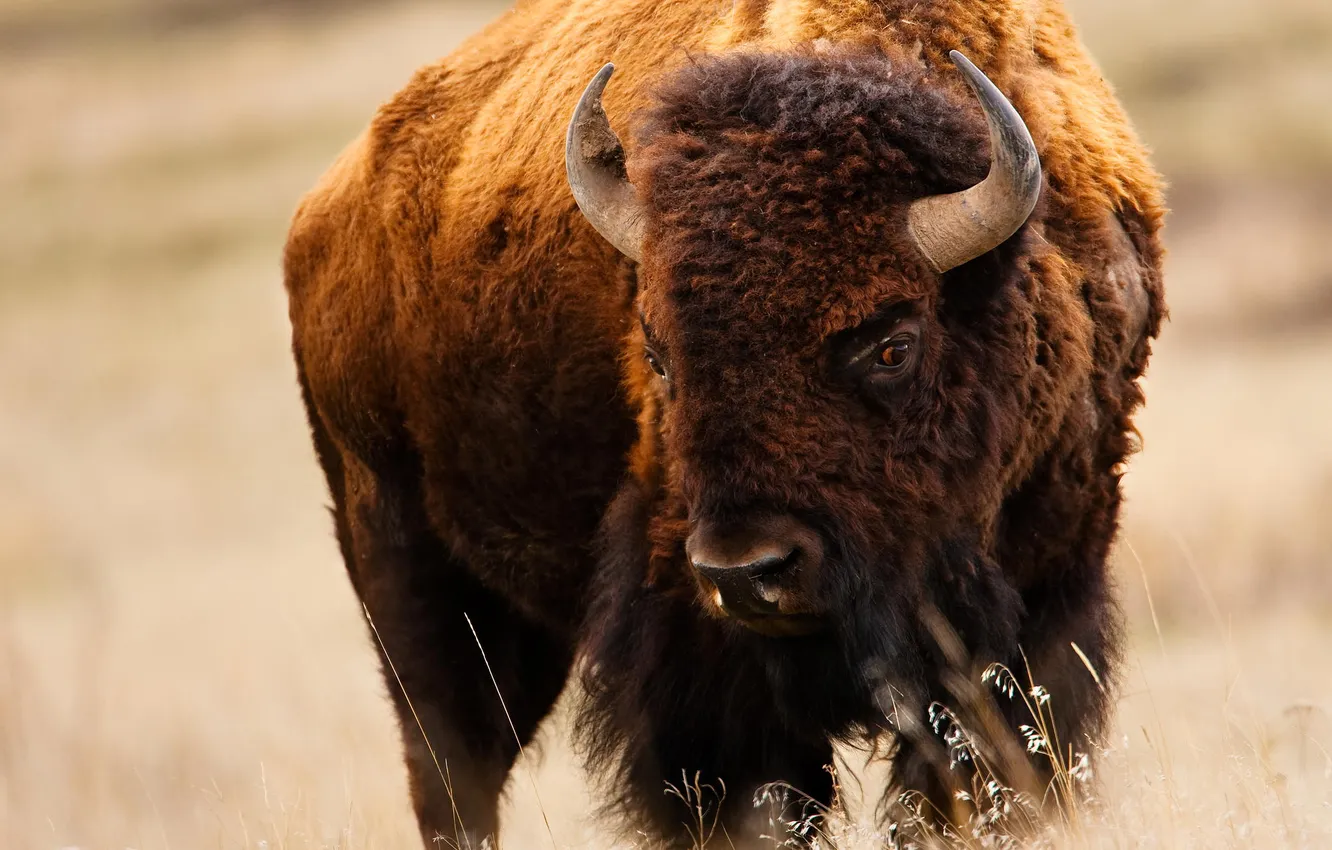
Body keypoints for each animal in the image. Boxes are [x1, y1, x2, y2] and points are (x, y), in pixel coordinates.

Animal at [283, 0, 1166, 847]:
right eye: (658, 355)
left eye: (892, 345)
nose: (746, 571)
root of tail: (323, 214)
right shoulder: (697, 657)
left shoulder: (1048, 588)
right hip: (408, 573)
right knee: (453, 768)